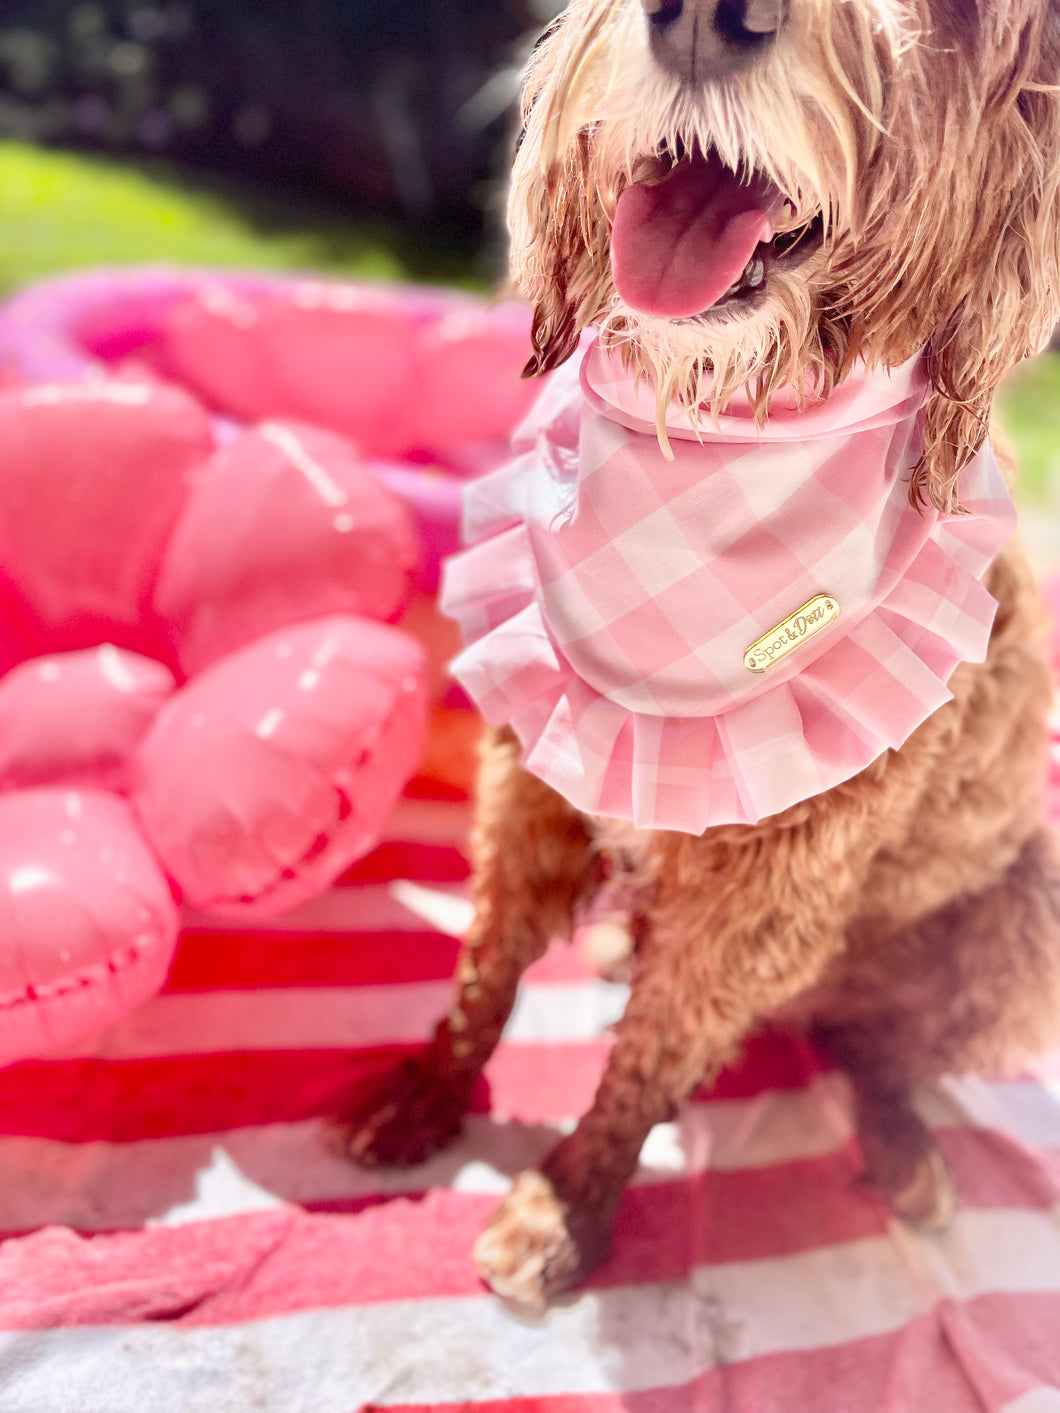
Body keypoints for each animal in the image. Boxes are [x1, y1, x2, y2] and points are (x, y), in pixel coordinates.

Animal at [353, 0, 1060, 1311]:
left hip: (1020, 919)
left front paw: (566, 1200)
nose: (701, 18)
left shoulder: (770, 885)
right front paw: (428, 1087)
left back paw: (898, 1138)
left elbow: (656, 1050)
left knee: (872, 1046)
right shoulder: (534, 765)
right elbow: (487, 960)